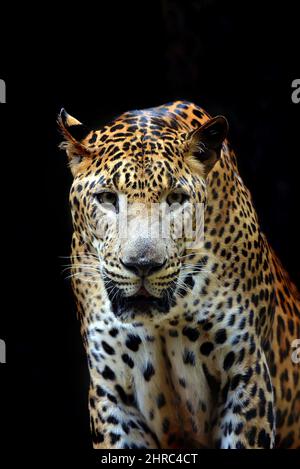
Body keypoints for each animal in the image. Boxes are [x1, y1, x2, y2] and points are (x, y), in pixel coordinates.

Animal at [58, 100, 300, 448]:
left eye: (175, 199)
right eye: (106, 198)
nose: (142, 264)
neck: (166, 317)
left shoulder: (246, 375)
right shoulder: (112, 394)